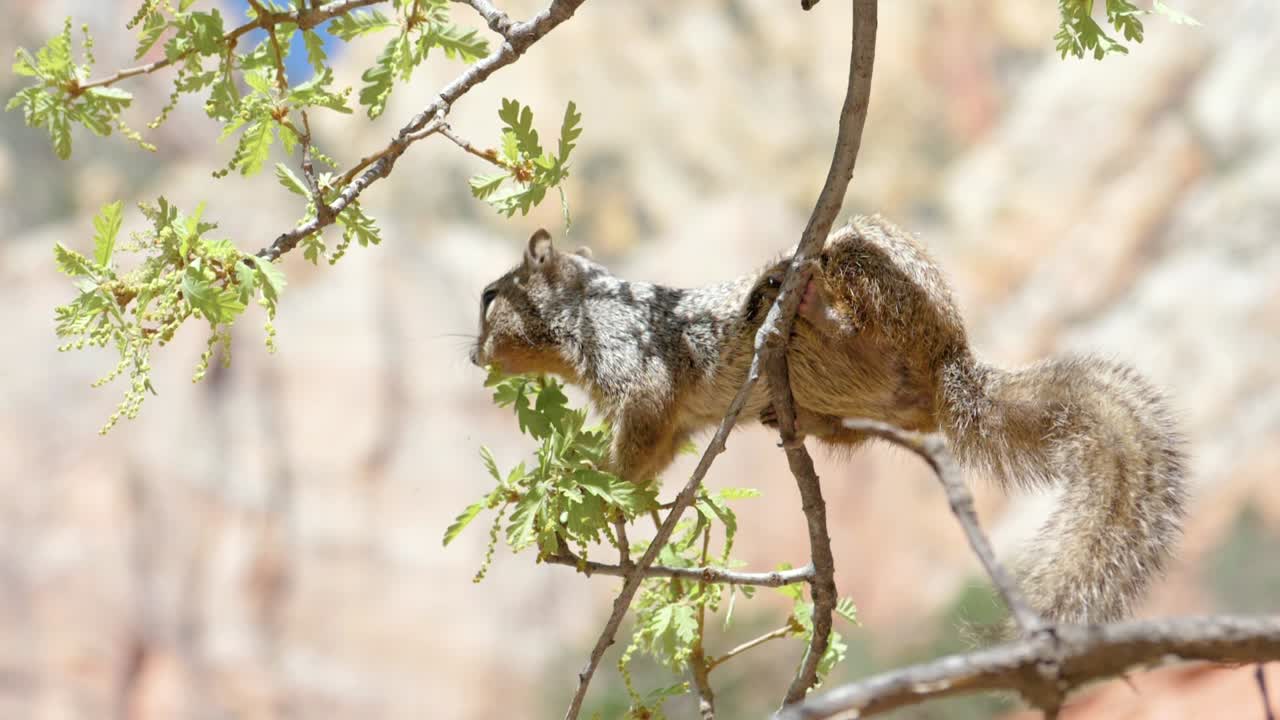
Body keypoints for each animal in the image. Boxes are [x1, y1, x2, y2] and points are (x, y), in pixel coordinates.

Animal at [470, 217, 1187, 626]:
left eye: (488, 296)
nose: (472, 355)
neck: (583, 313)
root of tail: (951, 363)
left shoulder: (632, 361)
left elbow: (640, 426)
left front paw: (593, 477)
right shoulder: (673, 426)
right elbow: (655, 451)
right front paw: (594, 488)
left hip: (867, 268)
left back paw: (798, 297)